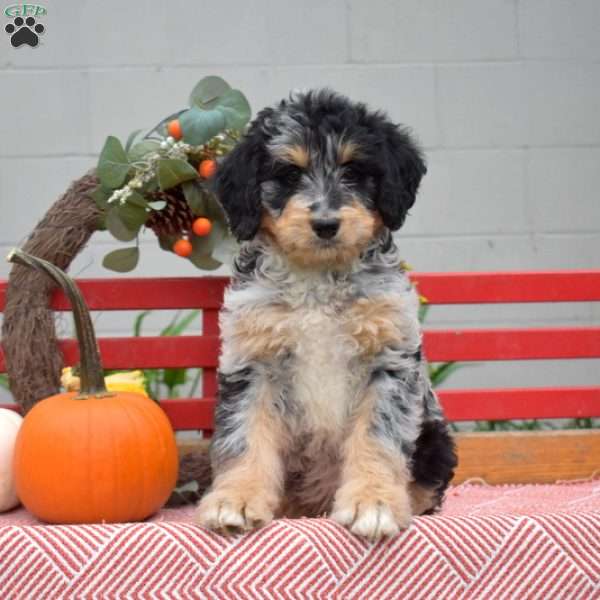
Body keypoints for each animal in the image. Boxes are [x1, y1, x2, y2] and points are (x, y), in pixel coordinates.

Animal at [195, 88, 458, 540]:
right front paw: (236, 499)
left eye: (353, 171)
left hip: (435, 440)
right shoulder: (252, 360)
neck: (318, 279)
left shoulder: (388, 359)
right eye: (288, 174)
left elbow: (377, 437)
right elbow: (243, 434)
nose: (325, 223)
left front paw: (374, 503)